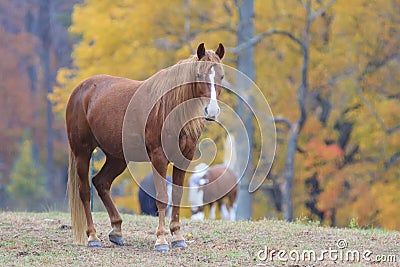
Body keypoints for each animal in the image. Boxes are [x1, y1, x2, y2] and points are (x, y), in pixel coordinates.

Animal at [65, 43, 225, 252]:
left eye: (221, 76)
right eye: (199, 74)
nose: (212, 111)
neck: (169, 108)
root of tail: (80, 91)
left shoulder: (183, 159)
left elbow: (177, 194)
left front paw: (178, 236)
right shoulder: (158, 158)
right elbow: (162, 197)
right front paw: (161, 240)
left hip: (117, 158)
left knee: (101, 183)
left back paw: (117, 231)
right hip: (82, 152)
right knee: (84, 191)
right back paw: (93, 236)